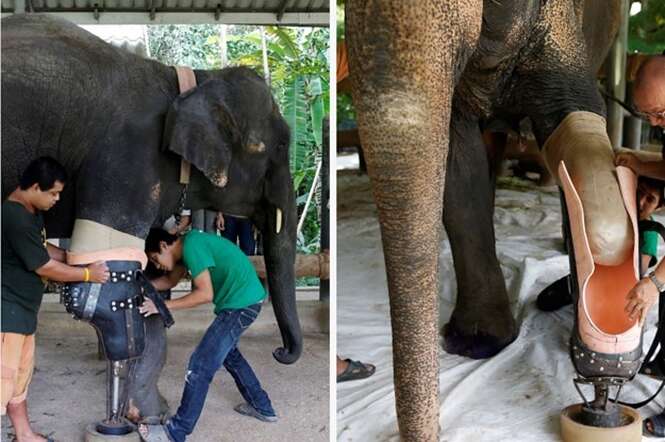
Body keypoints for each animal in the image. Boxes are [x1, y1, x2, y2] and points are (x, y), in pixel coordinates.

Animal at [1, 12, 300, 422]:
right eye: (279, 145)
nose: (281, 352)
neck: (188, 81)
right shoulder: (126, 159)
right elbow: (107, 291)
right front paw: (134, 415)